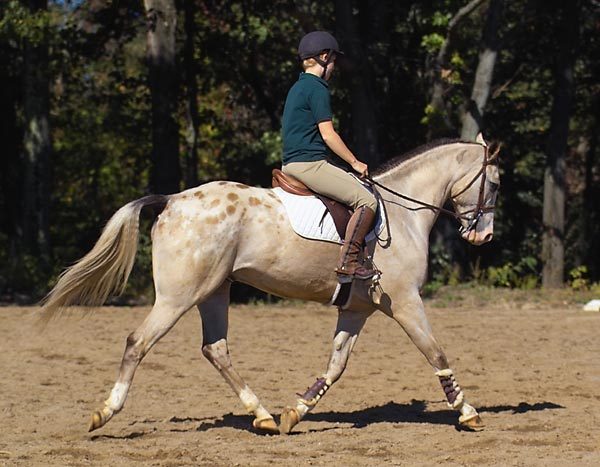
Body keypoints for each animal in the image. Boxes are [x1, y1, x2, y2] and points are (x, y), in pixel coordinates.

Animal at [42, 135, 500, 436]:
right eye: (494, 184)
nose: (484, 236)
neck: (402, 211)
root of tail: (171, 200)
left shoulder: (357, 309)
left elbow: (336, 365)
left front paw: (295, 412)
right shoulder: (405, 301)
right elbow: (435, 352)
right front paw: (467, 411)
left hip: (214, 291)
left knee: (215, 349)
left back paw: (261, 415)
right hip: (178, 296)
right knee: (139, 342)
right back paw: (105, 412)